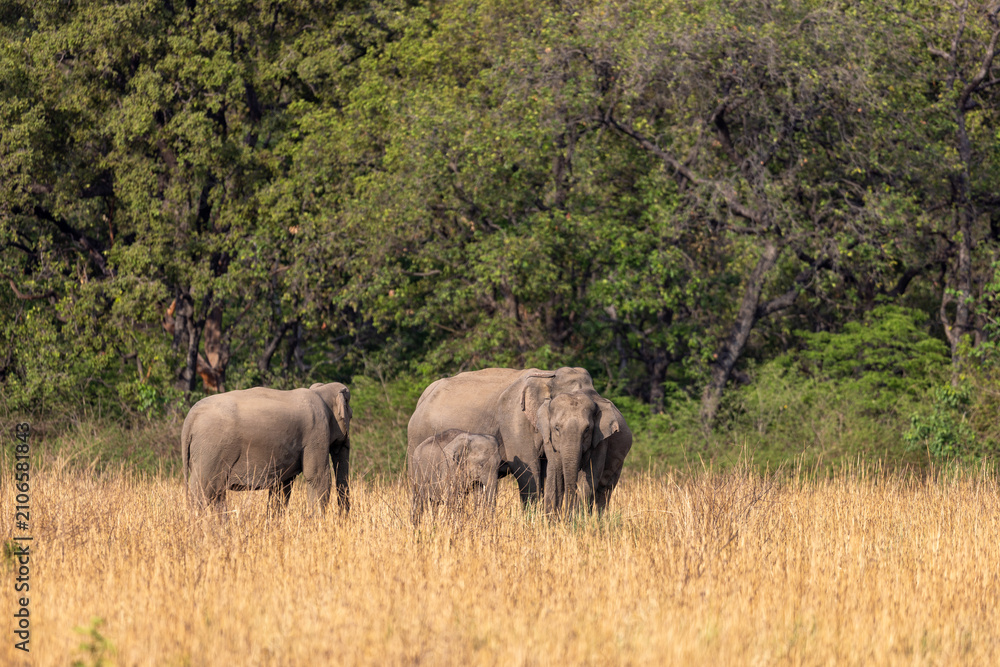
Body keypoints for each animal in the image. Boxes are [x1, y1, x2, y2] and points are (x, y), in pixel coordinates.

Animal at [181, 382, 352, 514]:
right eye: (350, 415)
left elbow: (282, 485)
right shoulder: (316, 432)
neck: (320, 391)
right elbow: (317, 477)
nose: (342, 521)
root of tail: (190, 417)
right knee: (204, 493)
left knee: (216, 495)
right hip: (211, 451)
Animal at [407, 367, 631, 515]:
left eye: (589, 428)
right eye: (557, 427)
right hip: (416, 440)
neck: (548, 376)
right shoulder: (514, 418)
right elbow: (528, 471)